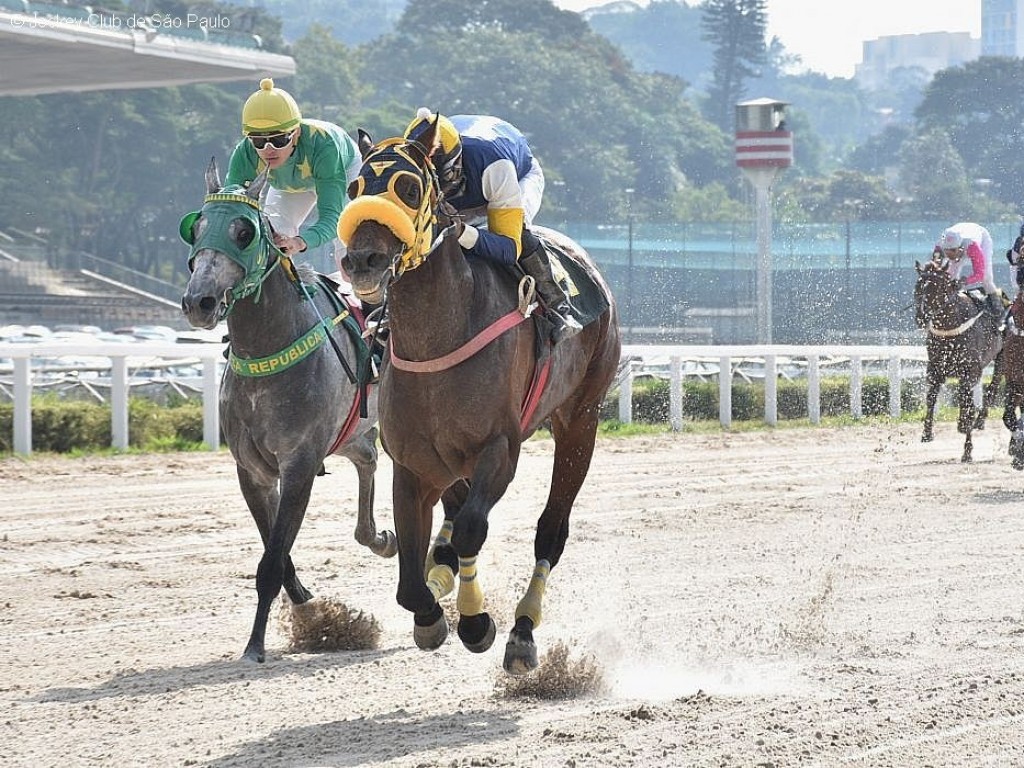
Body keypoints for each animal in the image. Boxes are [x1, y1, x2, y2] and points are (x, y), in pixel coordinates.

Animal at [180, 159, 395, 663]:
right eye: (195, 227)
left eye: (243, 231)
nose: (199, 302)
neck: (266, 354)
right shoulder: (254, 470)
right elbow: (277, 552)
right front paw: (310, 607)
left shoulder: (299, 463)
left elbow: (272, 560)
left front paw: (256, 646)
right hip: (350, 431)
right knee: (368, 459)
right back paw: (378, 537)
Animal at [339, 123, 618, 675]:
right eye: (355, 187)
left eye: (409, 188)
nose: (361, 261)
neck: (437, 337)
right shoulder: (414, 464)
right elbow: (409, 578)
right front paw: (431, 614)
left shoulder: (499, 451)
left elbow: (472, 528)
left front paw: (475, 623)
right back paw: (444, 573)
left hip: (580, 421)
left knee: (550, 531)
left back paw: (523, 632)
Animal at [917, 259, 1003, 462]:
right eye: (917, 287)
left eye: (934, 288)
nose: (920, 317)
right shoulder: (935, 368)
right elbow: (931, 398)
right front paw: (927, 433)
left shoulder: (969, 370)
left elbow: (968, 406)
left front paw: (967, 450)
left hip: (1003, 358)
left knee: (993, 388)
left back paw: (979, 421)